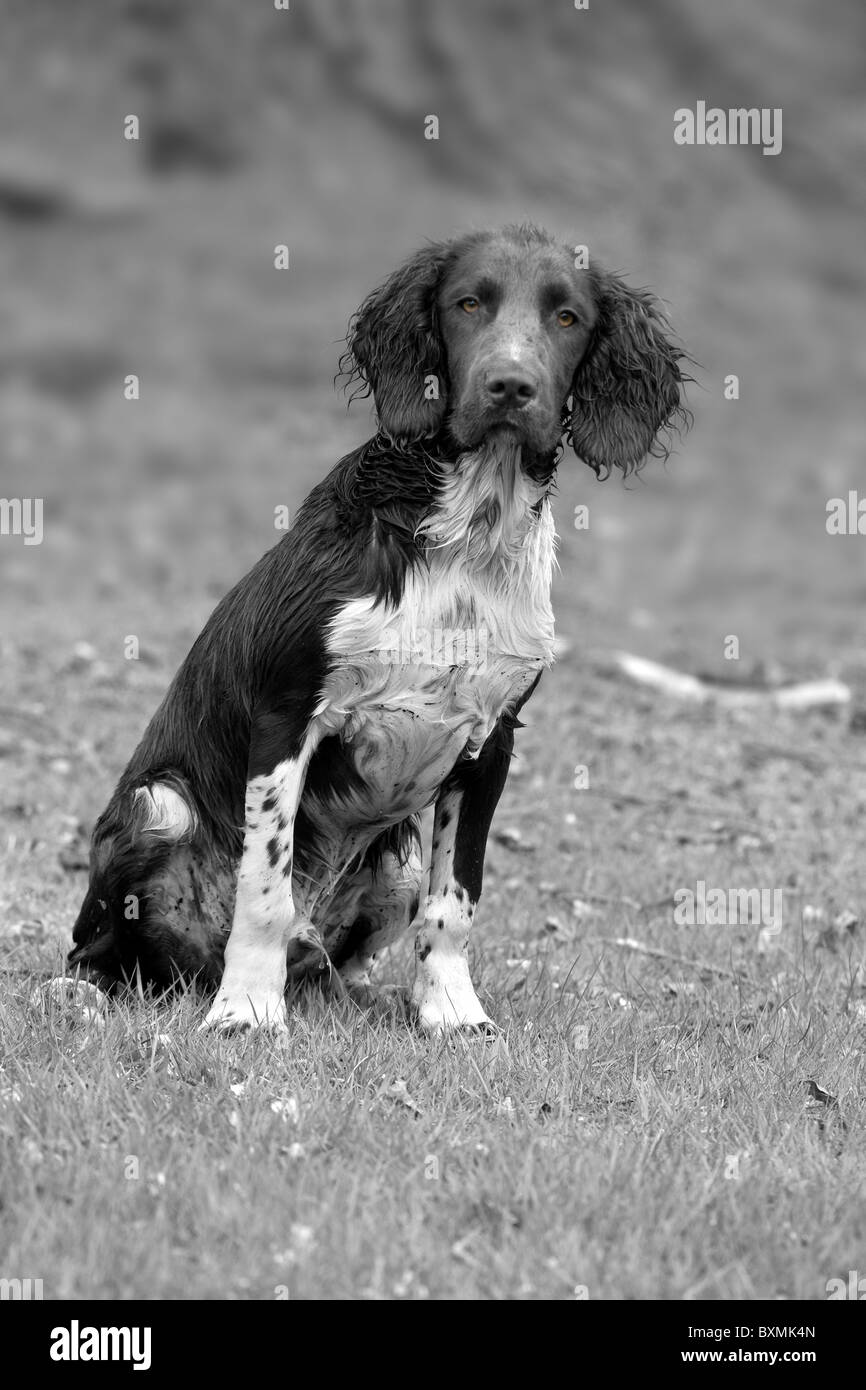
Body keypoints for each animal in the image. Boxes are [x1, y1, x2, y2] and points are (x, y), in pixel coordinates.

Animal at [66, 222, 692, 1034]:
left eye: (567, 317)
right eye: (467, 303)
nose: (510, 386)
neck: (468, 533)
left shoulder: (492, 742)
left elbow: (453, 904)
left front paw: (452, 1013)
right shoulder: (286, 715)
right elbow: (264, 893)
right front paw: (247, 1012)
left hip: (393, 862)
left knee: (332, 963)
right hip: (157, 808)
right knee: (104, 951)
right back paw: (99, 991)